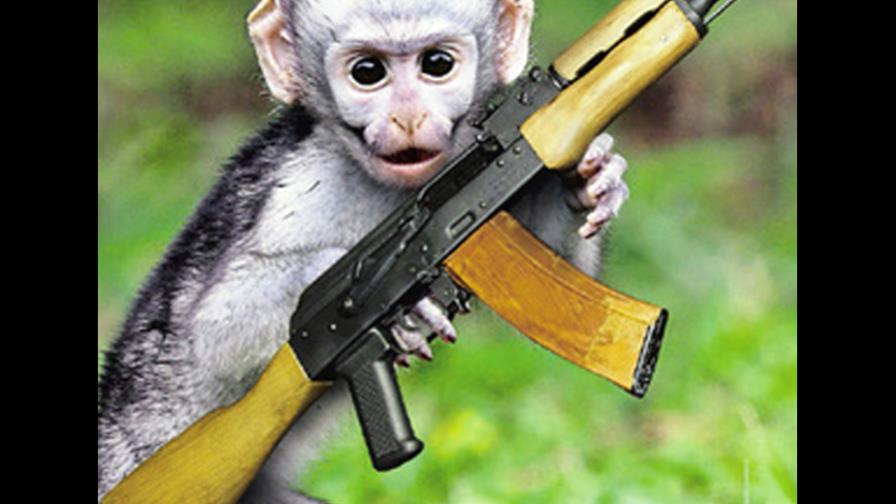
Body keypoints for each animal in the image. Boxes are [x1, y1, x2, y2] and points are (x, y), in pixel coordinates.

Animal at [96, 0, 631, 502]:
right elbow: (217, 330)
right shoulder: (296, 187)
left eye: (437, 64)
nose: (408, 117)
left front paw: (593, 179)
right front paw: (380, 283)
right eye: (367, 72)